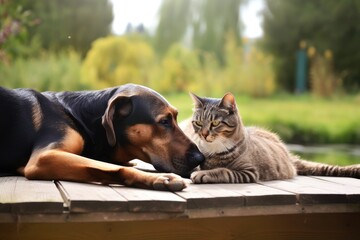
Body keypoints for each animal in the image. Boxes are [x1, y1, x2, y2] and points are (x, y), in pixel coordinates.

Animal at [0, 84, 204, 191]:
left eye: (175, 118)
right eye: (164, 121)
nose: (200, 158)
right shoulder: (43, 157)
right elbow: (111, 167)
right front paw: (160, 178)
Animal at [181, 93, 360, 183]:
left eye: (215, 123)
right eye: (198, 122)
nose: (203, 134)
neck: (214, 150)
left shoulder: (249, 172)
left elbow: (224, 171)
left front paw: (204, 174)